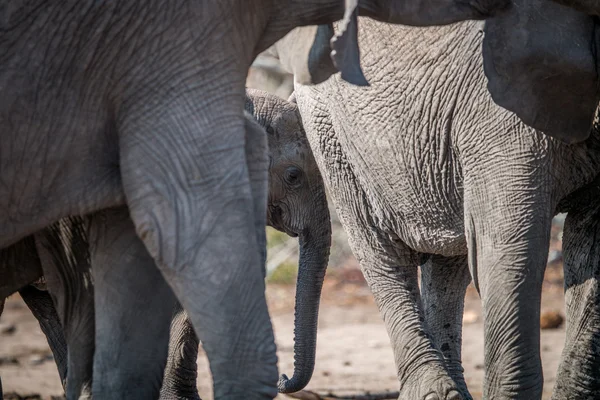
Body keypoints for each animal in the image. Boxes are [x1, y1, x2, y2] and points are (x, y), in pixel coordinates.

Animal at [270, 18, 600, 396]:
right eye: (292, 176)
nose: (281, 380)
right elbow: (509, 252)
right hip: (329, 120)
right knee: (378, 245)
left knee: (448, 262)